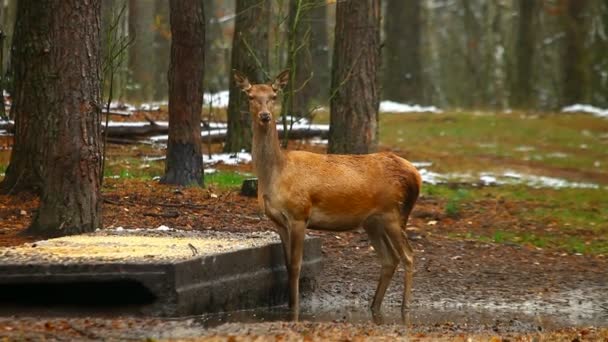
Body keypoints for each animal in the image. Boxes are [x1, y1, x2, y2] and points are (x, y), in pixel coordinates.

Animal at [234, 69, 422, 318]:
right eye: (250, 95)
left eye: (274, 95)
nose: (265, 116)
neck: (275, 174)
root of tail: (416, 175)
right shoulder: (278, 221)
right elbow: (287, 265)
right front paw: (289, 306)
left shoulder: (299, 214)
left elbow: (296, 266)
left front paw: (295, 310)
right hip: (373, 221)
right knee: (389, 259)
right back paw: (374, 306)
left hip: (394, 213)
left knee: (408, 256)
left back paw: (405, 308)